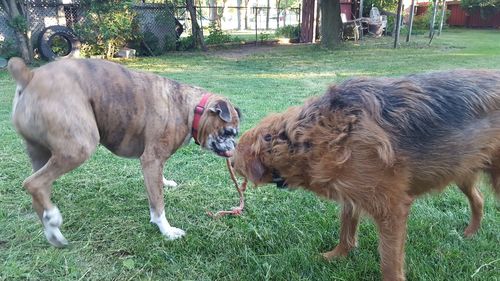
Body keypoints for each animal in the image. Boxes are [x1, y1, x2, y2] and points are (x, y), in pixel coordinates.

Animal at [8, 58, 240, 246]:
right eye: (229, 132)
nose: (234, 148)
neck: (191, 109)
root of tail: (30, 76)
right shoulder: (151, 160)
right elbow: (157, 204)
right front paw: (166, 230)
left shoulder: (155, 163)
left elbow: (158, 183)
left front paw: (165, 182)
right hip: (79, 147)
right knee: (32, 183)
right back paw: (53, 217)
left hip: (42, 154)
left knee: (38, 191)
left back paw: (52, 230)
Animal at [232, 70, 500, 280]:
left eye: (236, 149)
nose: (230, 160)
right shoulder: (352, 194)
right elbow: (346, 231)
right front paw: (337, 256)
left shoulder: (391, 209)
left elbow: (389, 262)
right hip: (463, 171)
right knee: (478, 200)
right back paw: (470, 234)